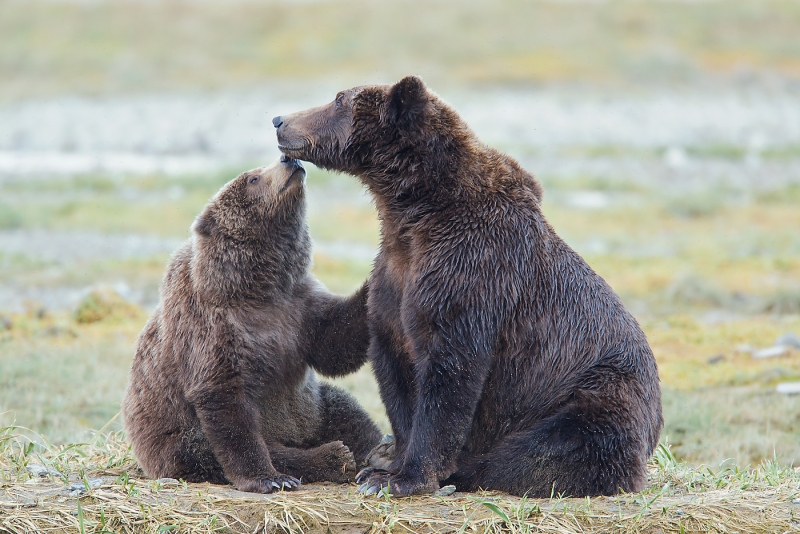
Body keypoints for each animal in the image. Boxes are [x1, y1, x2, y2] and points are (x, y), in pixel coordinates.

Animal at [122, 157, 382, 496]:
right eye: (253, 178)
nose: (289, 159)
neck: (255, 288)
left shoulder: (298, 309)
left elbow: (335, 342)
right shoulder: (212, 326)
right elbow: (227, 402)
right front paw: (268, 477)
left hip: (311, 411)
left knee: (343, 409)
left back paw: (376, 452)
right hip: (171, 439)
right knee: (210, 449)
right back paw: (331, 457)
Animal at [276, 77, 664, 500]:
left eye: (338, 100)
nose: (279, 119)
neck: (413, 210)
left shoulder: (472, 269)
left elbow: (451, 370)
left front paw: (400, 477)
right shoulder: (395, 277)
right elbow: (394, 364)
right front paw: (389, 462)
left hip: (594, 392)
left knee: (554, 447)